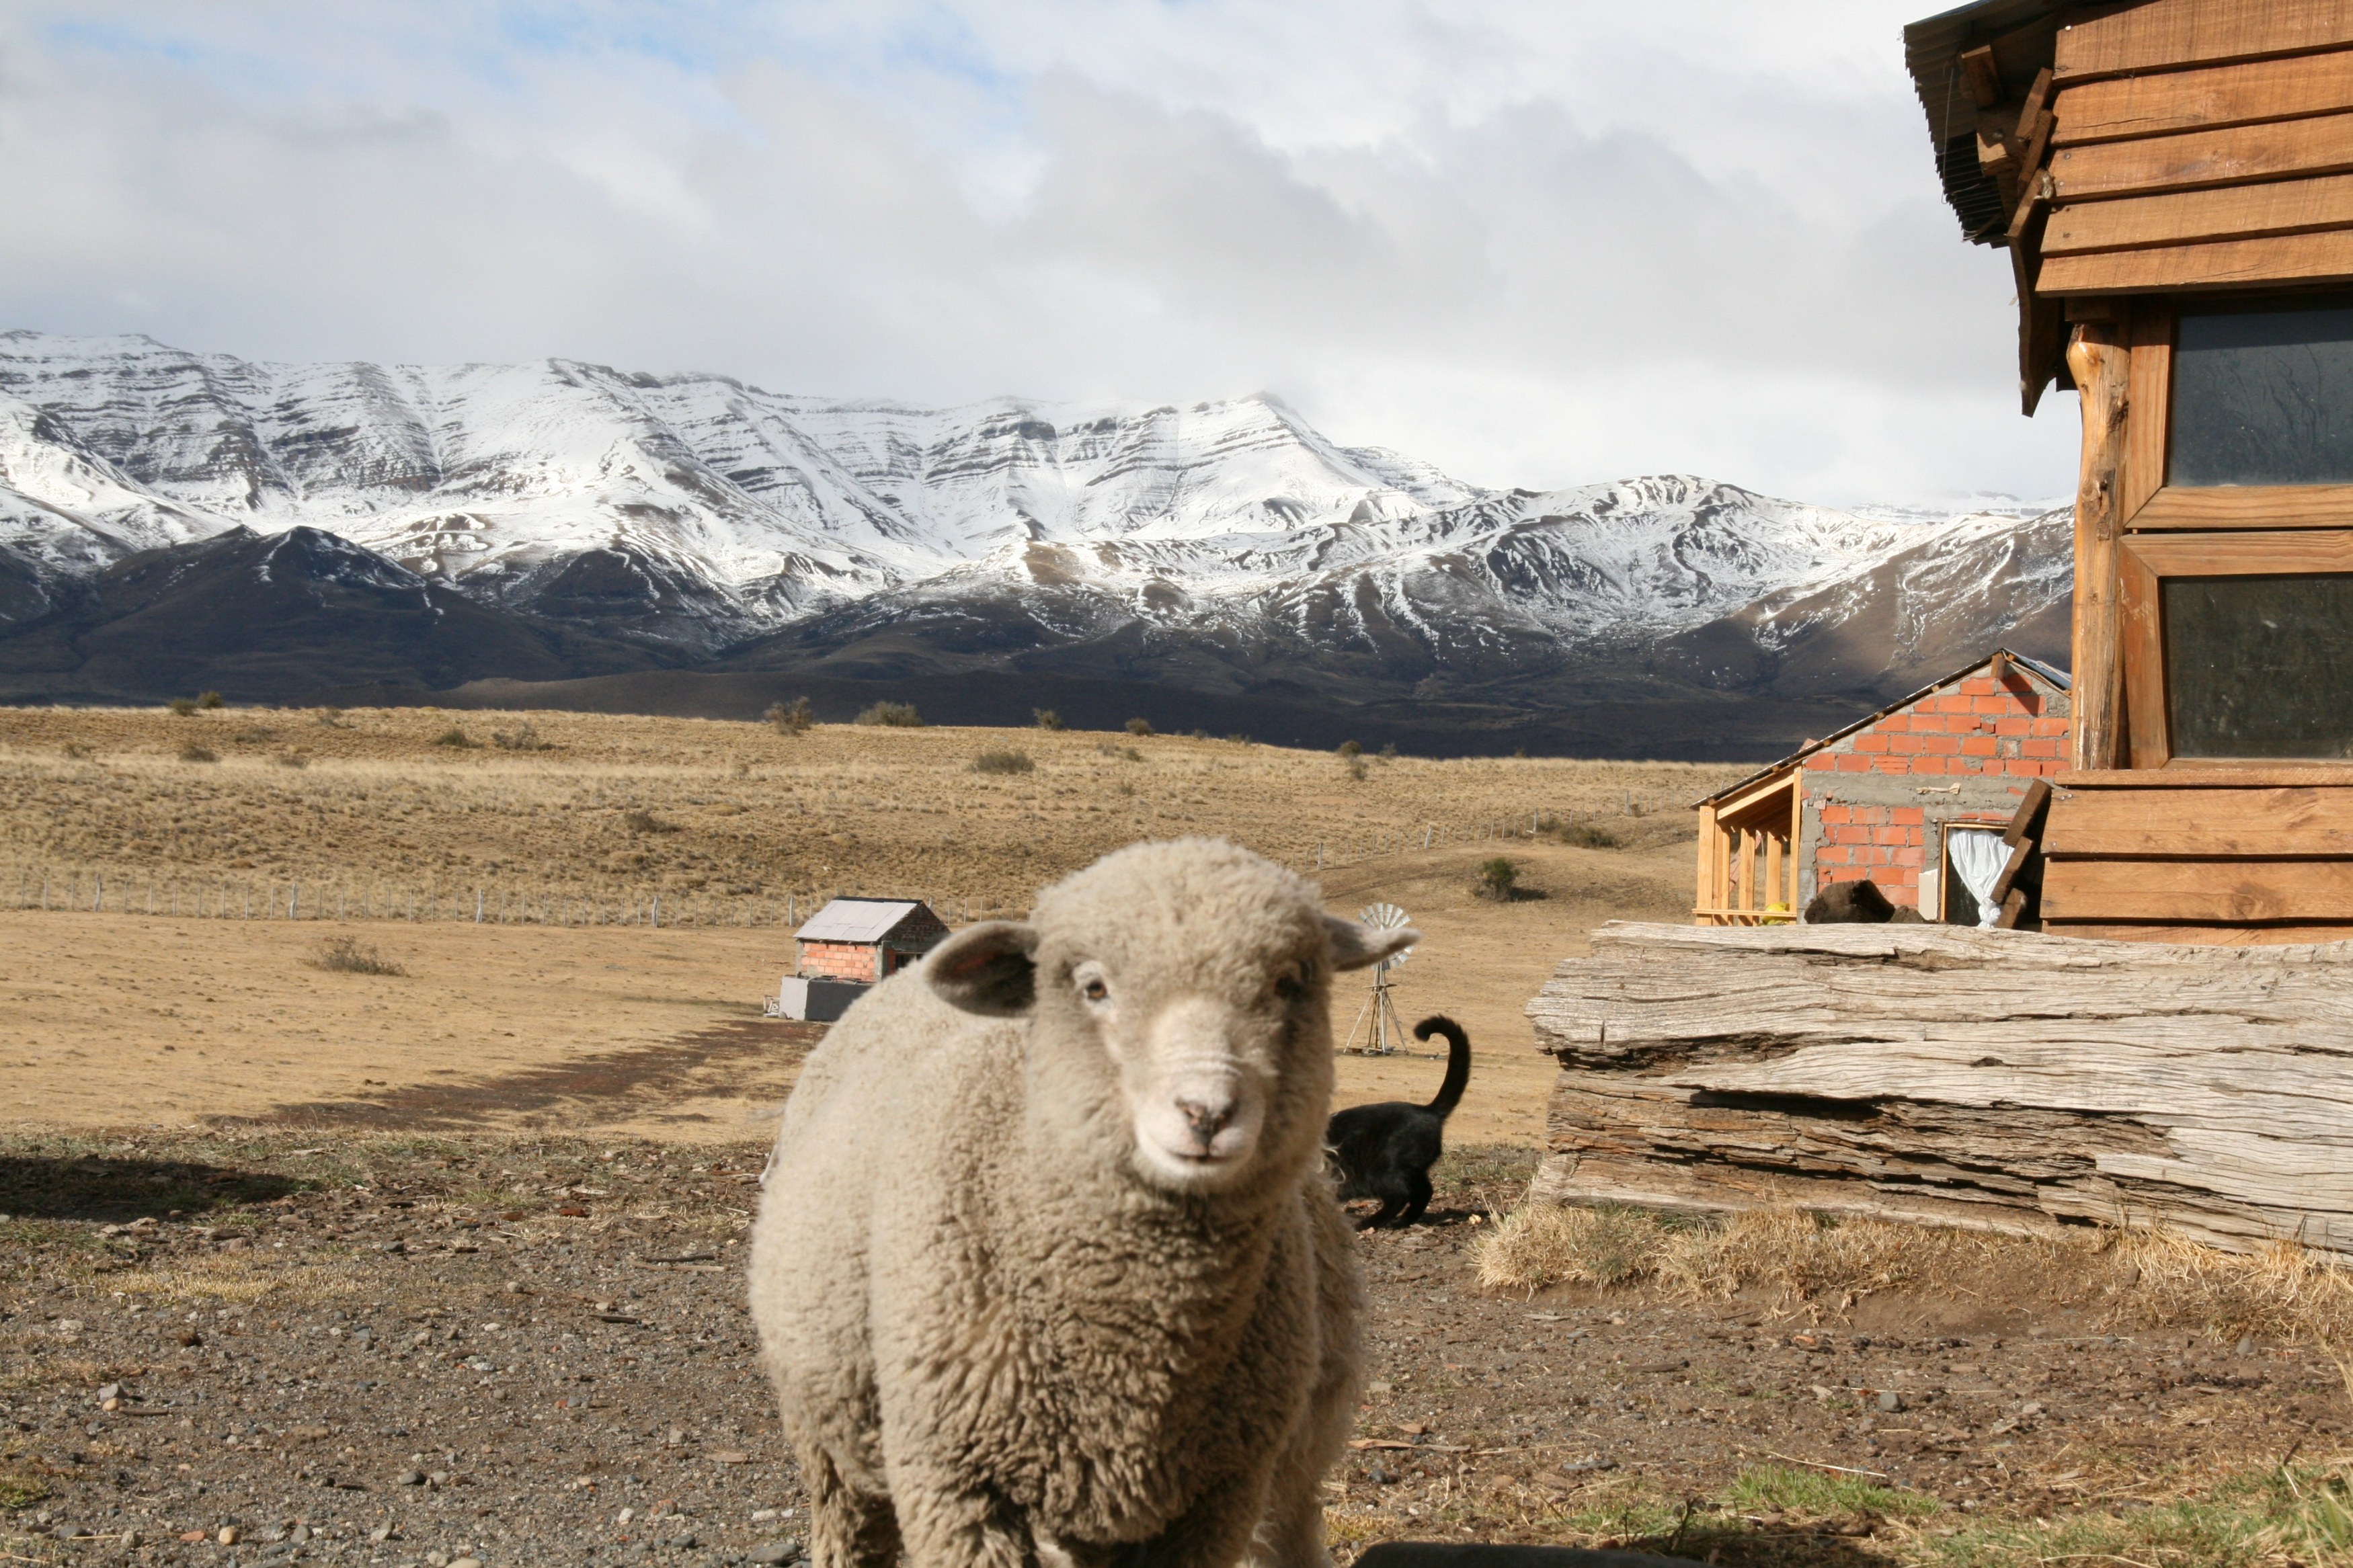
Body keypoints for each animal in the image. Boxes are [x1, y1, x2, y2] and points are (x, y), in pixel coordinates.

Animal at [749, 838, 1417, 1568]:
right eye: (1094, 987)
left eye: (1288, 982)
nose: (1206, 1112)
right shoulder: (955, 1481)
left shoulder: (1217, 1494)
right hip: (831, 1436)